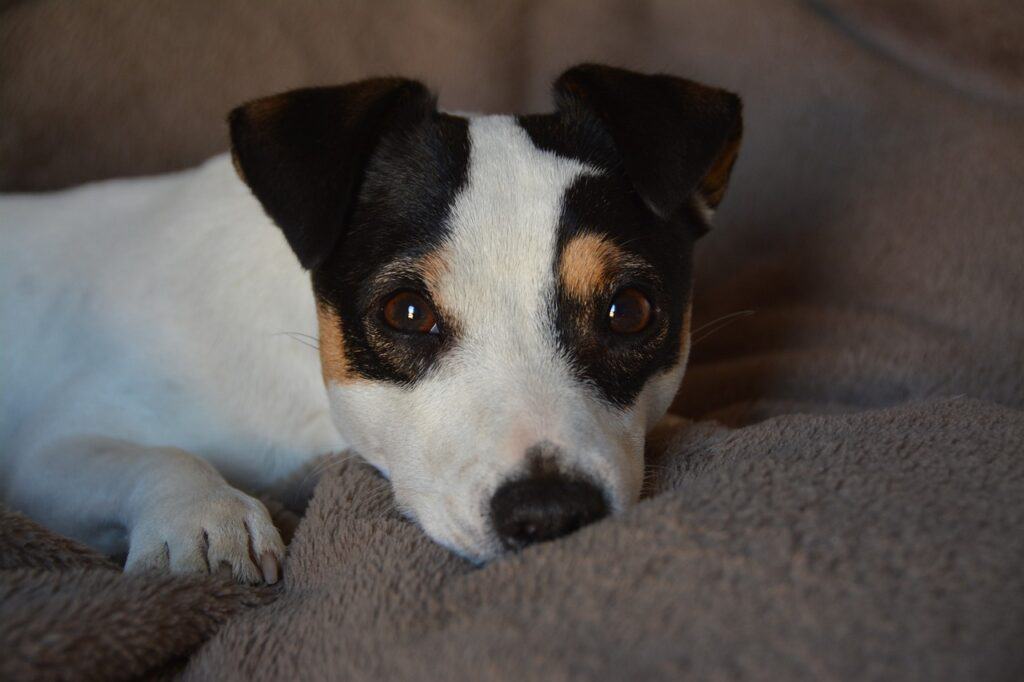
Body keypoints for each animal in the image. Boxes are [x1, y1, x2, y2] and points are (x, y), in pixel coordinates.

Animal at [0, 63, 741, 581]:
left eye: (629, 311)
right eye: (406, 312)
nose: (550, 513)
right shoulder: (44, 453)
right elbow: (159, 457)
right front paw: (206, 520)